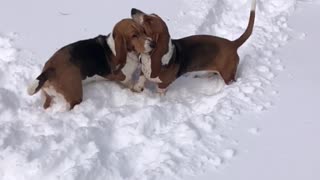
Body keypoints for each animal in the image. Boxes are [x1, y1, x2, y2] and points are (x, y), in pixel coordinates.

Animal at [28, 18, 156, 109]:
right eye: (134, 35)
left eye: (143, 31)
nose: (153, 44)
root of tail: (49, 69)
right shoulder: (121, 76)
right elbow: (130, 82)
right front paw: (137, 89)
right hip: (75, 95)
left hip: (48, 95)